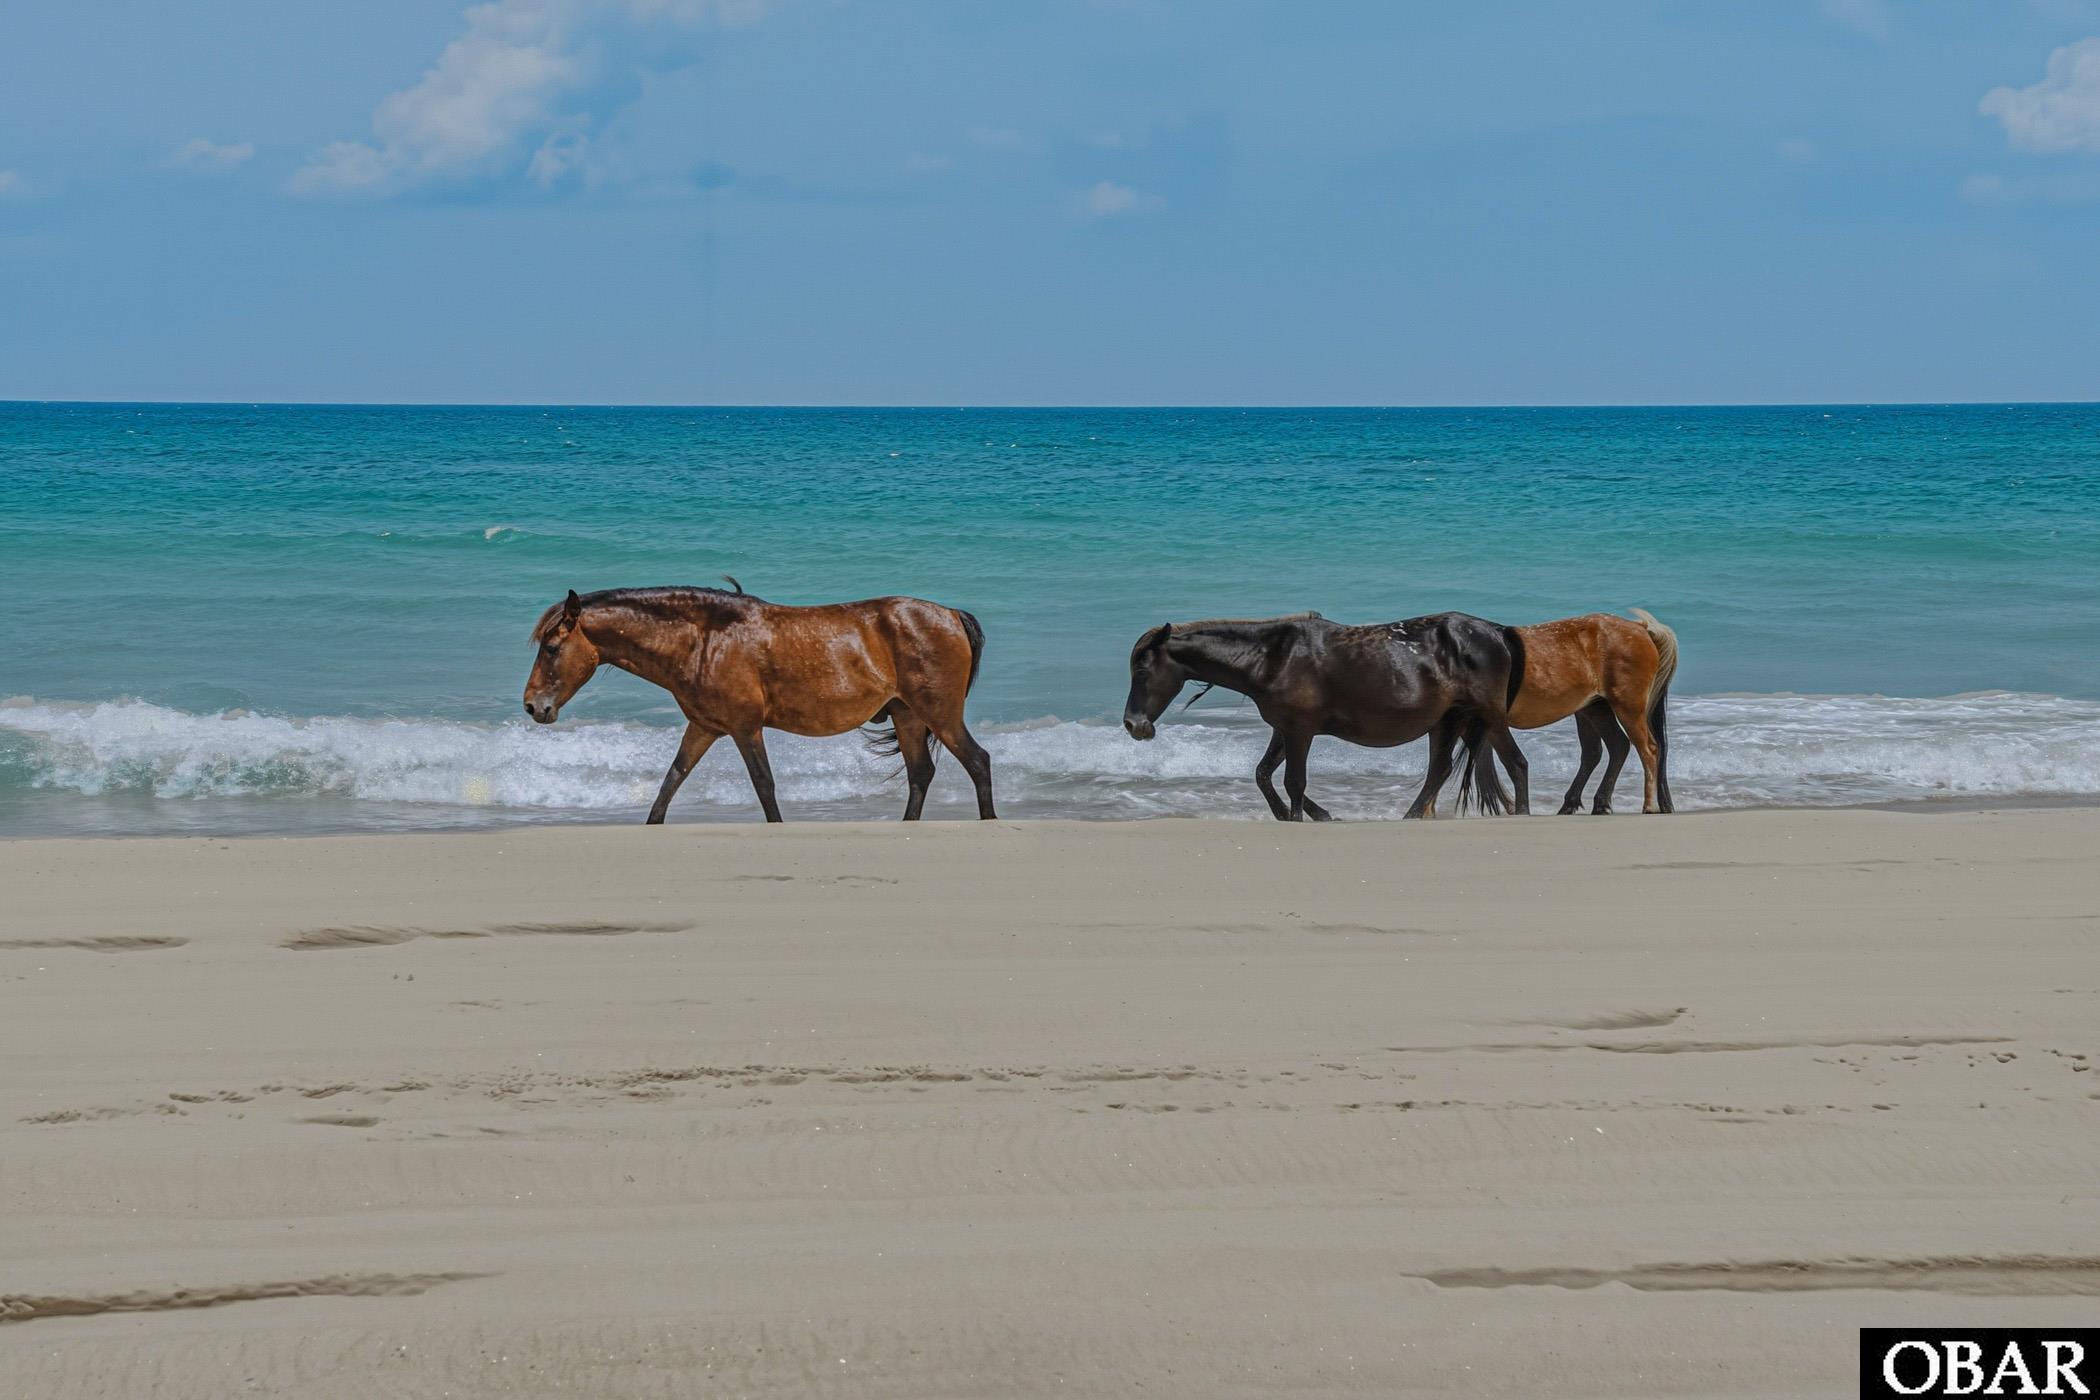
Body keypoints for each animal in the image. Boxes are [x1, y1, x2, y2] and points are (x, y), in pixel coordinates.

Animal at [523, 584, 995, 824]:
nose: (532, 707)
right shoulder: (704, 727)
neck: (703, 642)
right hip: (907, 714)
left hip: (939, 713)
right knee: (920, 774)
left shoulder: (745, 728)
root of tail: (951, 614)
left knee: (977, 761)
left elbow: (763, 785)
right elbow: (671, 782)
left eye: (551, 647)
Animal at [1122, 612, 1530, 821]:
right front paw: (1311, 814)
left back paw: (1522, 812)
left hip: (1488, 716)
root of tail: (1497, 631)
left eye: (1142, 671)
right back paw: (1412, 816)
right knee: (1440, 770)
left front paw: (1300, 816)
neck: (1272, 658)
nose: (1133, 725)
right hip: (1449, 721)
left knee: (1516, 763)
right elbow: (1263, 775)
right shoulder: (1284, 728)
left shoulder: (1301, 731)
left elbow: (1293, 782)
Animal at [1502, 609, 1679, 815]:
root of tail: (1641, 628)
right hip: (1594, 710)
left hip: (1628, 708)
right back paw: (1591, 804)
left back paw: (1649, 805)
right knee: (1609, 748)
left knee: (1647, 750)